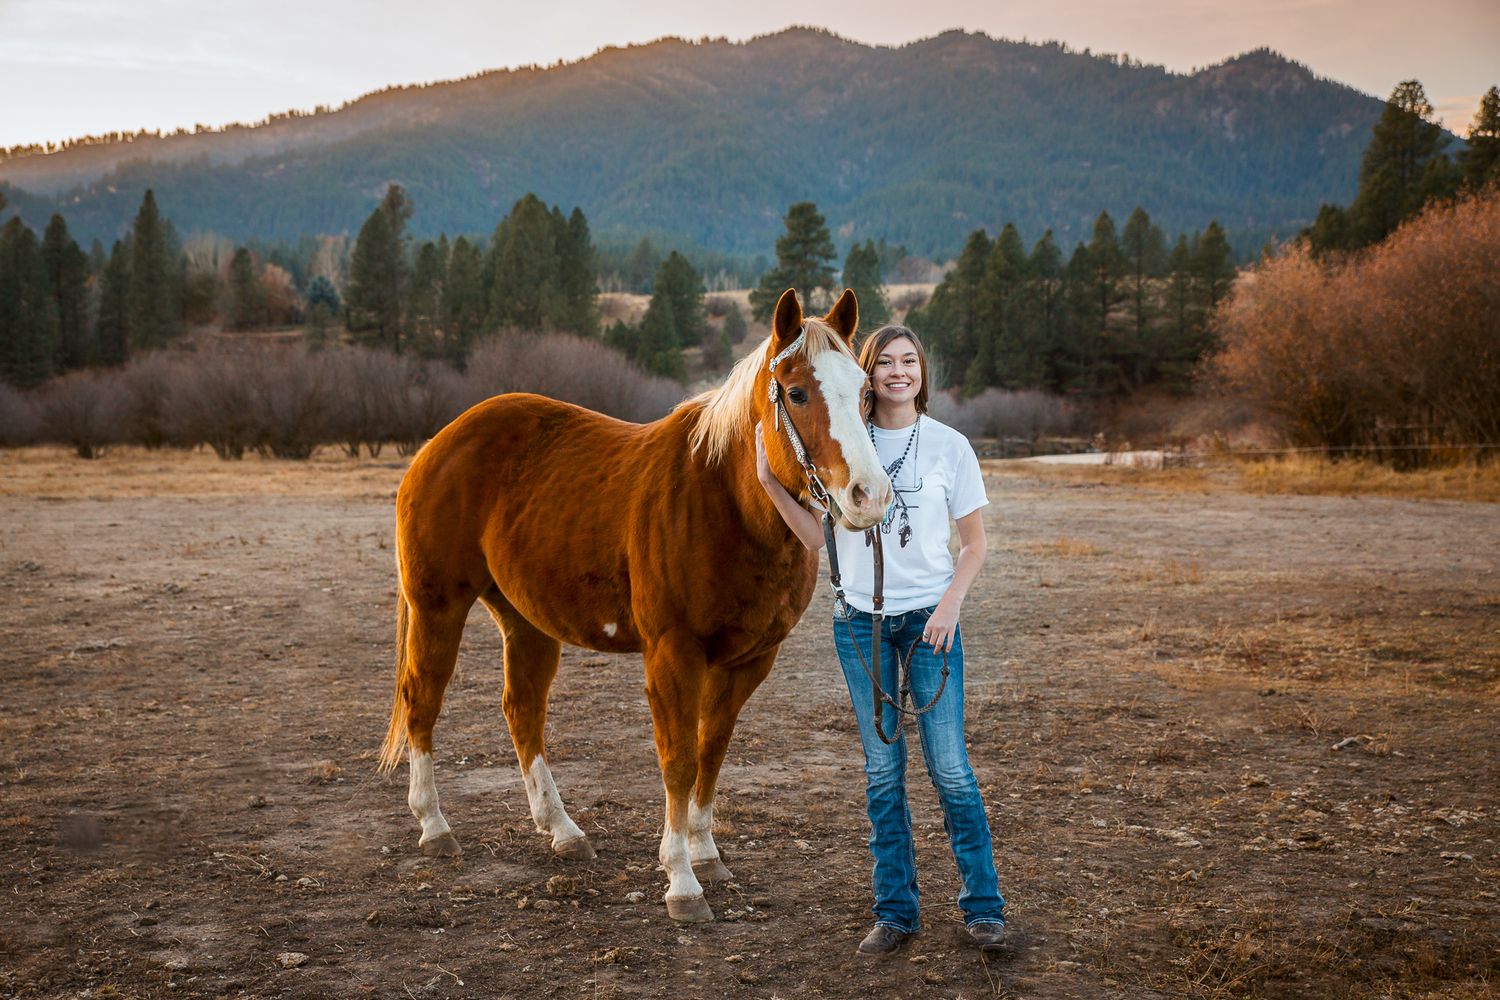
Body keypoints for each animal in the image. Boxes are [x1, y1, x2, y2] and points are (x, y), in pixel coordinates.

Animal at [377, 287, 893, 922]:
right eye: (796, 392)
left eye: (866, 391)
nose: (870, 496)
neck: (725, 500)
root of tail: (440, 442)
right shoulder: (672, 655)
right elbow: (679, 760)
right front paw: (681, 881)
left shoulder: (749, 661)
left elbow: (711, 751)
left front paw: (705, 854)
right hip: (437, 607)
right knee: (422, 700)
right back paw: (434, 825)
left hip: (526, 622)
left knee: (522, 710)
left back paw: (563, 830)